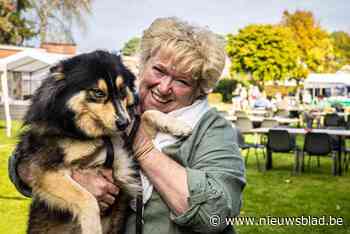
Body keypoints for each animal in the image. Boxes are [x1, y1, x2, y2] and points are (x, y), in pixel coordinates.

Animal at [15, 51, 191, 234]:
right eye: (98, 93)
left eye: (122, 90)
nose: (124, 123)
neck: (103, 136)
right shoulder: (41, 169)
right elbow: (87, 198)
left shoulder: (129, 146)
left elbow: (147, 114)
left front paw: (178, 125)